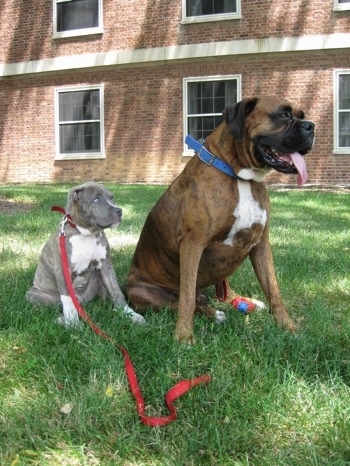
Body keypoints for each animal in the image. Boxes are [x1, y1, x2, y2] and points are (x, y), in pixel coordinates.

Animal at [25, 180, 144, 326]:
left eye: (112, 198)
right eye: (96, 199)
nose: (119, 211)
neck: (86, 234)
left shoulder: (106, 266)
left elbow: (116, 291)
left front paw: (130, 314)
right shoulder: (62, 270)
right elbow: (68, 300)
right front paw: (73, 323)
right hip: (33, 295)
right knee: (57, 305)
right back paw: (62, 319)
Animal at [125, 95, 314, 342]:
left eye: (302, 115)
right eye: (283, 115)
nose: (311, 126)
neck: (241, 177)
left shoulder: (261, 244)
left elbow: (274, 290)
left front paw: (288, 328)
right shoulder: (193, 245)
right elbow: (186, 300)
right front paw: (184, 336)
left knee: (217, 292)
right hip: (141, 292)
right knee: (186, 301)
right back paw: (213, 313)